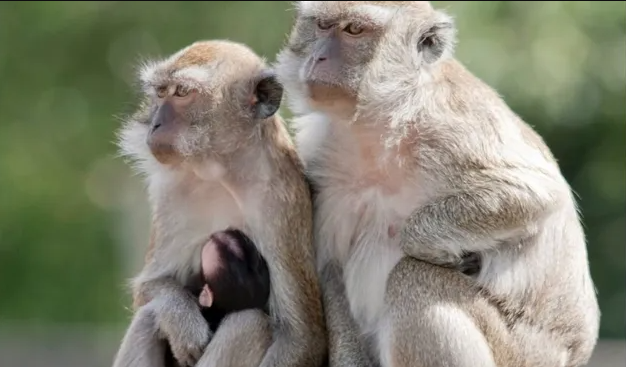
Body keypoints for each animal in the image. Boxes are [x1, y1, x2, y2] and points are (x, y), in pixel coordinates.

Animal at [111, 39, 324, 367]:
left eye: (182, 92)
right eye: (161, 92)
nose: (155, 124)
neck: (222, 172)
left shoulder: (281, 202)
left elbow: (302, 338)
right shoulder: (171, 193)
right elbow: (147, 288)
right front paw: (181, 319)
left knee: (249, 323)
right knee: (148, 317)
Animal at [272, 1, 600, 366]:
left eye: (354, 30)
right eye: (321, 25)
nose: (319, 57)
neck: (380, 125)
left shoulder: (453, 129)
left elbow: (535, 193)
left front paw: (428, 245)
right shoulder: (323, 160)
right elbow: (330, 267)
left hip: (521, 353)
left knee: (413, 279)